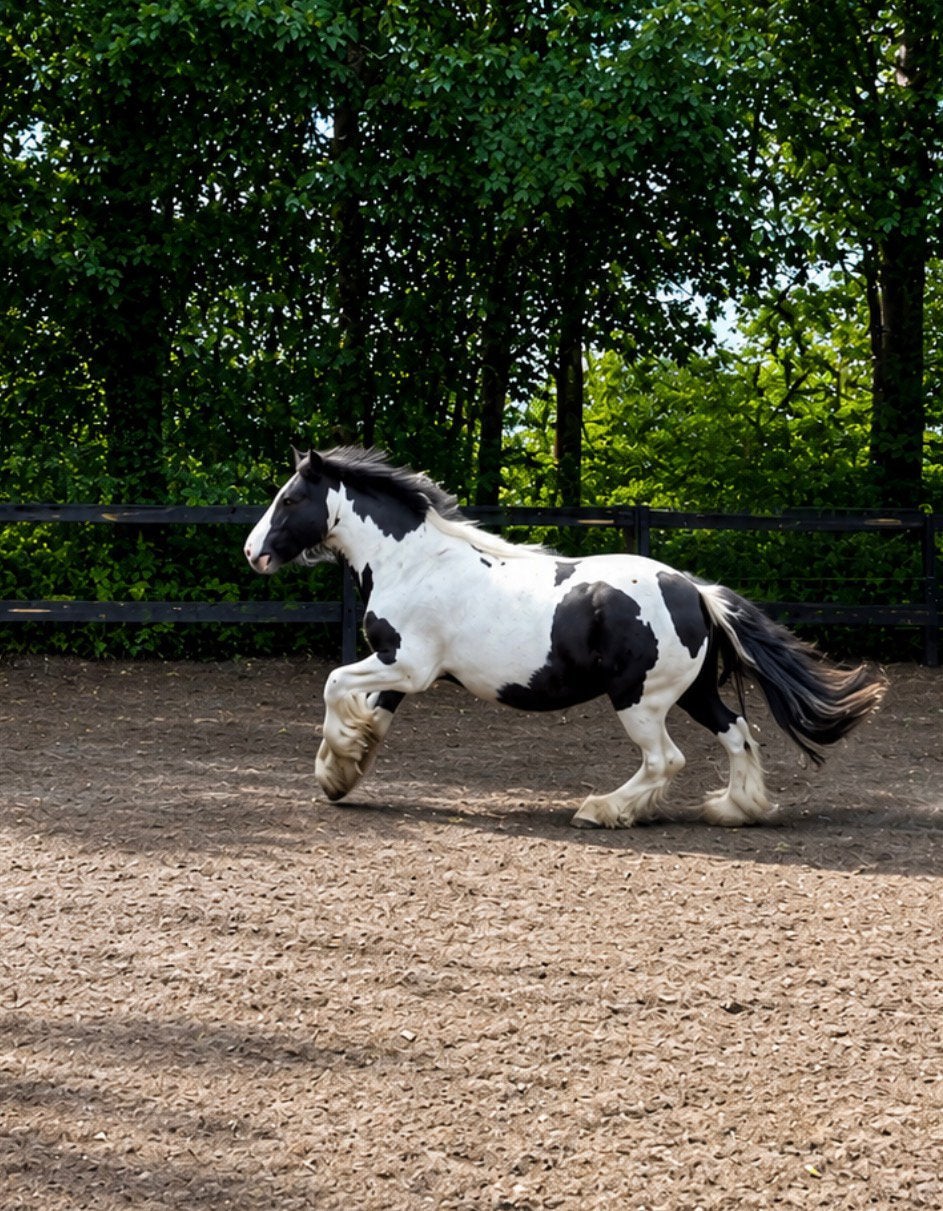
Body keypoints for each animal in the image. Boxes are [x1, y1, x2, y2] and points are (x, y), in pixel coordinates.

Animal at [245, 446, 885, 828]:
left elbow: (334, 683)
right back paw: (736, 808)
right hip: (694, 691)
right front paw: (341, 772)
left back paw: (601, 810)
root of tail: (695, 592)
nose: (254, 553)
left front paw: (337, 760)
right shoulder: (397, 669)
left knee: (666, 759)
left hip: (639, 699)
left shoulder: (408, 665)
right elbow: (371, 715)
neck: (413, 563)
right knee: (739, 734)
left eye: (290, 498)